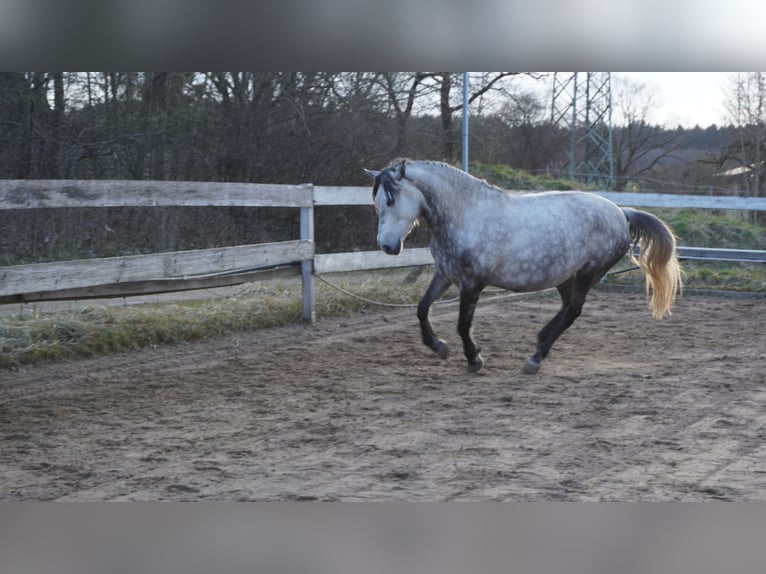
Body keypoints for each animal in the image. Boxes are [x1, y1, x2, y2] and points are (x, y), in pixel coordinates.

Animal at [364, 159, 683, 374]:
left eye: (391, 198)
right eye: (377, 202)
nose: (387, 246)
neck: (467, 216)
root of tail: (621, 212)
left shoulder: (473, 283)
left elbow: (463, 324)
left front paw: (474, 358)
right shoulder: (446, 275)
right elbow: (422, 308)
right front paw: (439, 346)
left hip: (588, 273)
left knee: (573, 310)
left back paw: (536, 358)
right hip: (566, 275)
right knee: (567, 307)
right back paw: (541, 338)